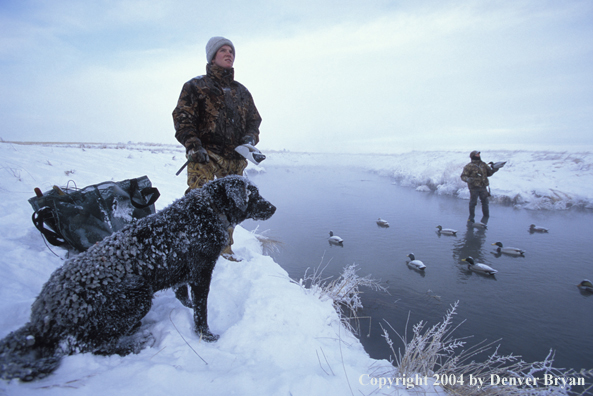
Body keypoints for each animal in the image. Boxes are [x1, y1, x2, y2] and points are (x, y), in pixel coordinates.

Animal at [0, 176, 274, 380]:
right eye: (253, 193)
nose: (273, 207)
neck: (206, 212)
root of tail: (40, 320)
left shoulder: (183, 275)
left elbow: (183, 296)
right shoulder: (201, 272)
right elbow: (200, 311)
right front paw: (206, 336)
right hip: (137, 297)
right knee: (84, 346)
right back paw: (133, 343)